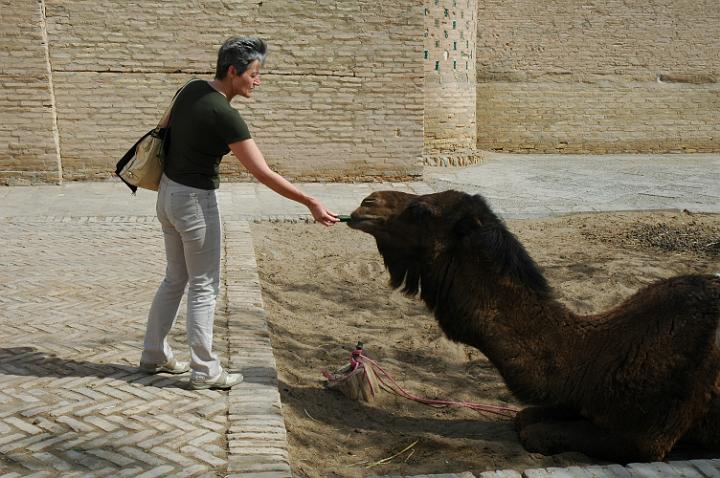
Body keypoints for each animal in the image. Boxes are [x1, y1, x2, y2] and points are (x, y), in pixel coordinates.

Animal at [347, 189, 720, 463]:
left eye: (421, 210)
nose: (367, 201)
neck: (597, 356)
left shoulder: (647, 437)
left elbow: (534, 433)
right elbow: (524, 417)